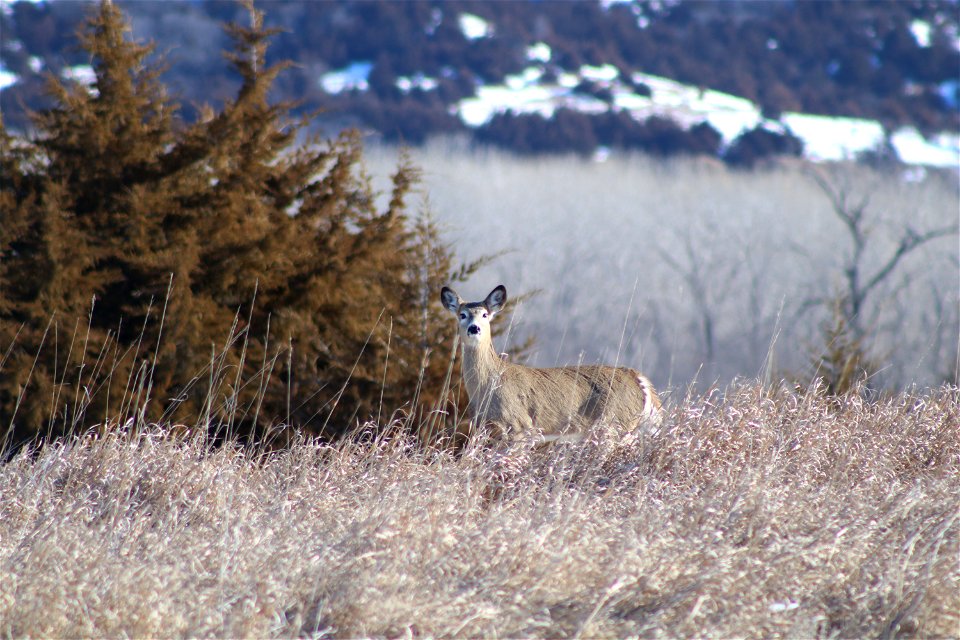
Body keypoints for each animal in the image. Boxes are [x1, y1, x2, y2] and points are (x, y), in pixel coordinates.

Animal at [440, 282, 660, 442]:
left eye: (485, 314)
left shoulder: (521, 426)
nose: (474, 328)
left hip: (615, 426)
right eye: (462, 314)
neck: (489, 384)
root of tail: (639, 379)